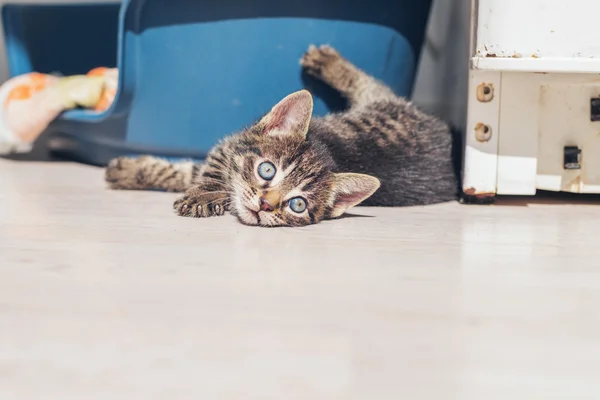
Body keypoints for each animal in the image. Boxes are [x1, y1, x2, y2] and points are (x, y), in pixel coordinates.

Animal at [105, 45, 458, 227]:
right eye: (267, 170)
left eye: (297, 204)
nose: (265, 204)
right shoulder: (228, 146)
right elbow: (198, 171)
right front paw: (132, 171)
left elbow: (195, 173)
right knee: (370, 84)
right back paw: (327, 62)